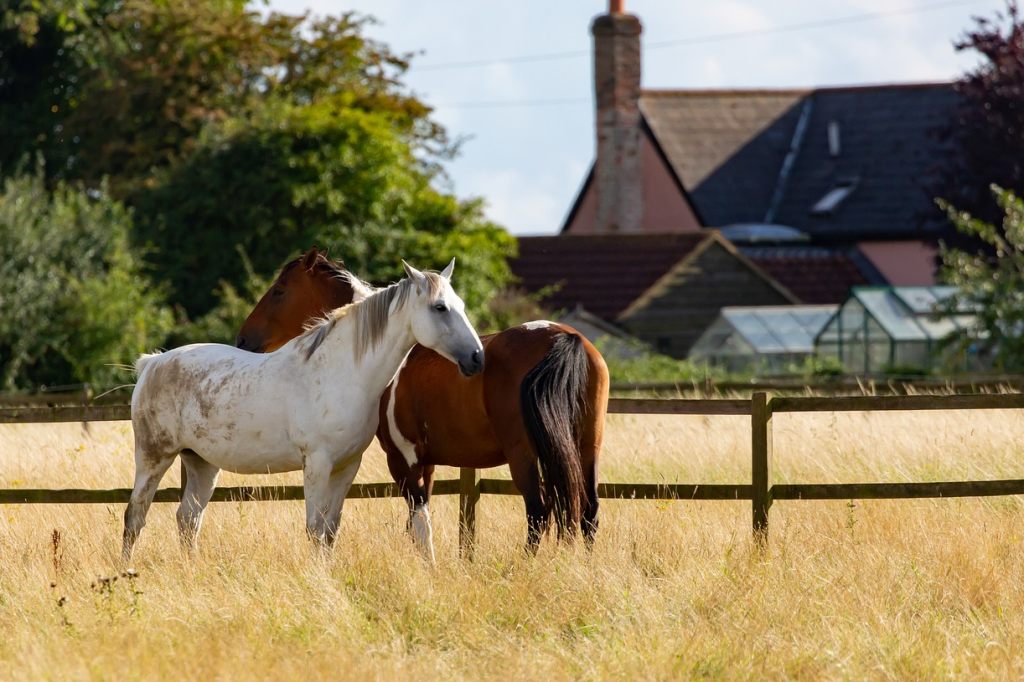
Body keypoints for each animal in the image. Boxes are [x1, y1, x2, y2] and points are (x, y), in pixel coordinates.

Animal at [123, 260, 483, 557]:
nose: (477, 357)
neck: (342, 372)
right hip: (154, 457)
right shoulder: (317, 464)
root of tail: (152, 363)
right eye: (440, 307)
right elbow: (314, 530)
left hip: (201, 464)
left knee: (188, 518)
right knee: (135, 516)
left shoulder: (347, 466)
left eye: (461, 306)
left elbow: (330, 531)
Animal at [237, 246, 606, 557]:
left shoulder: (403, 459)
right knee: (587, 511)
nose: (243, 339)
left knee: (538, 512)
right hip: (587, 448)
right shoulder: (426, 462)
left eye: (279, 290)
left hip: (524, 455)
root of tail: (564, 337)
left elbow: (419, 522)